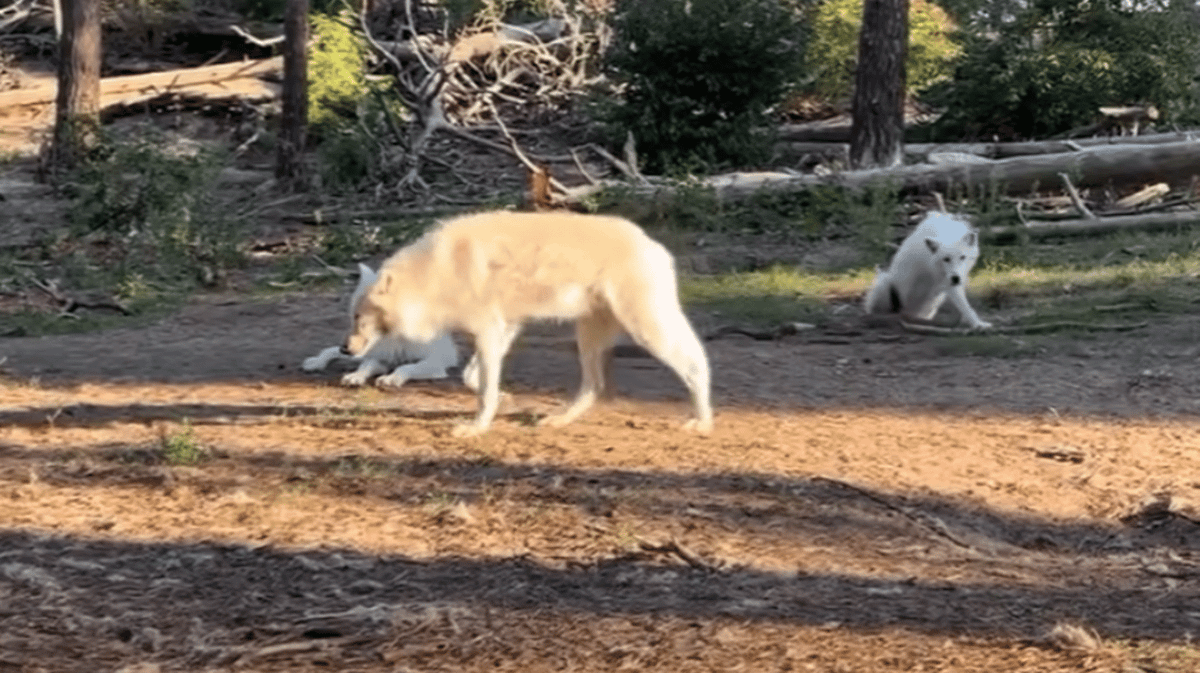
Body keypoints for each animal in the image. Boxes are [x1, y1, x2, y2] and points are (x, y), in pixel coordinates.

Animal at [303, 263, 466, 388]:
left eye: (359, 317)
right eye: (352, 317)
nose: (344, 348)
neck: (397, 336)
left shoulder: (436, 362)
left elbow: (405, 366)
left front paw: (391, 378)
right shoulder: (383, 358)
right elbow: (366, 366)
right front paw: (356, 376)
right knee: (333, 351)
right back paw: (315, 362)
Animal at [343, 210, 713, 437]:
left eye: (358, 317)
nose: (345, 349)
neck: (434, 272)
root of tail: (655, 246)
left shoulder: (489, 331)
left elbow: (482, 391)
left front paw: (476, 428)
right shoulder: (503, 329)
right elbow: (473, 379)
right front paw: (504, 399)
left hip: (645, 330)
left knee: (697, 364)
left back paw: (702, 421)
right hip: (588, 339)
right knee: (593, 387)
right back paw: (559, 420)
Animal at [863, 211, 992, 330]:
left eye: (962, 257)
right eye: (946, 259)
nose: (956, 279)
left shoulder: (957, 277)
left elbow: (965, 305)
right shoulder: (946, 279)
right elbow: (965, 305)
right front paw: (978, 324)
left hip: (934, 302)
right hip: (886, 283)